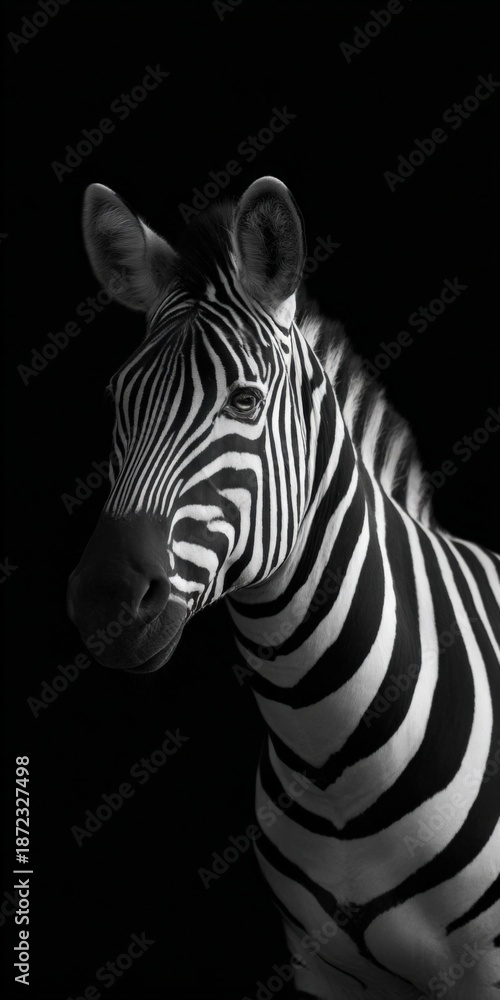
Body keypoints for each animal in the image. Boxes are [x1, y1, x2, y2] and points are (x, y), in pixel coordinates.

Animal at [67, 175, 500, 1000]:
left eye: (243, 401)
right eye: (114, 401)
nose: (103, 605)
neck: (333, 754)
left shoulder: (483, 968)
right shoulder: (319, 967)